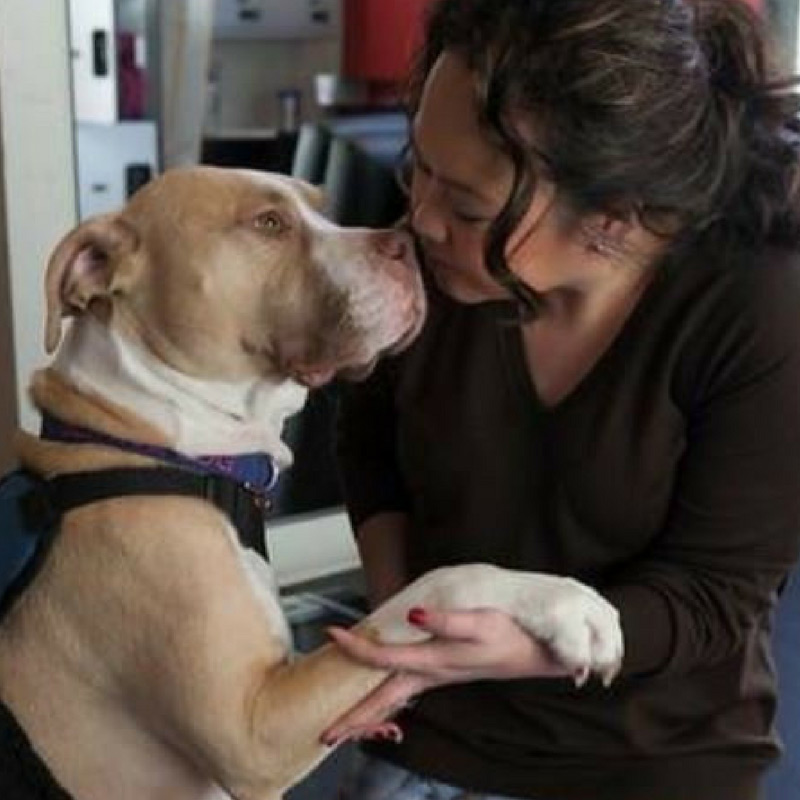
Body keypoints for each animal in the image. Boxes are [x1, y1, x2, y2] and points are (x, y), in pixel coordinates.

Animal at [0, 166, 623, 800]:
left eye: (322, 207)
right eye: (268, 222)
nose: (404, 245)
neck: (156, 442)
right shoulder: (253, 730)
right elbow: (437, 582)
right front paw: (569, 605)